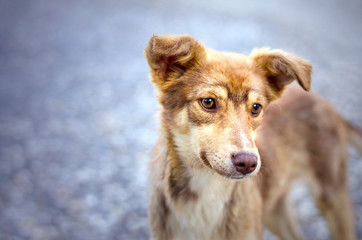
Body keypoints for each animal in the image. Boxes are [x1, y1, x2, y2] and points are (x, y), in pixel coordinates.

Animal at [144, 34, 360, 240]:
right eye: (208, 102)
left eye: (256, 107)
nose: (248, 163)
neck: (206, 188)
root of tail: (327, 105)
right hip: (275, 211)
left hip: (332, 195)